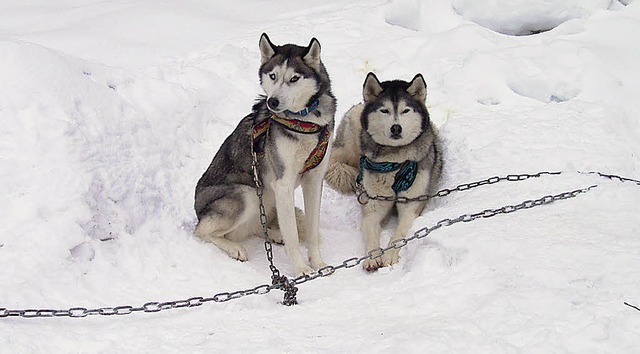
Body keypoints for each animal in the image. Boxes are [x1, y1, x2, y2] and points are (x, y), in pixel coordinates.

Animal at [194, 33, 336, 276]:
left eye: (294, 78)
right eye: (273, 76)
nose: (272, 102)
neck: (304, 122)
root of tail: (196, 209)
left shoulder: (314, 180)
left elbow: (311, 230)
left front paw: (318, 263)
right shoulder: (283, 184)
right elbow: (293, 236)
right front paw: (301, 269)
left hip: (267, 195)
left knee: (259, 225)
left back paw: (274, 235)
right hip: (248, 194)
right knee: (201, 231)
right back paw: (235, 248)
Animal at [328, 72, 442, 272]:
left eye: (405, 111)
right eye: (384, 111)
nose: (396, 127)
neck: (394, 161)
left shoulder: (411, 203)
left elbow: (399, 234)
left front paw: (389, 255)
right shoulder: (374, 205)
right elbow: (371, 233)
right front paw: (373, 257)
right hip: (352, 134)